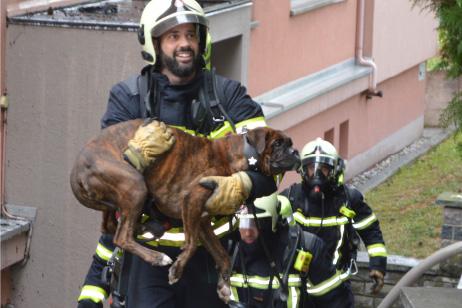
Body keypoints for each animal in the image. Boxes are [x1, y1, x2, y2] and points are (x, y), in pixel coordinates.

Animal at [68, 119, 300, 302]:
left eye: (290, 143)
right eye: (278, 143)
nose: (295, 152)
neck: (239, 154)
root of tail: (76, 170)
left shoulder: (201, 219)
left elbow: (222, 255)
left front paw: (224, 286)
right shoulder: (190, 202)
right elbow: (191, 245)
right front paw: (177, 270)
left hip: (119, 198)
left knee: (110, 226)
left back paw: (143, 228)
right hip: (135, 186)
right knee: (121, 236)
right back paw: (156, 256)